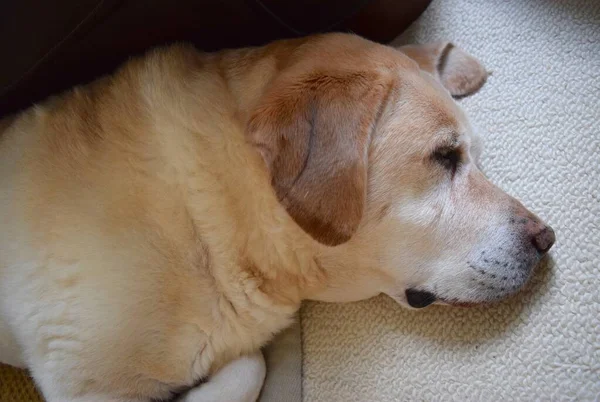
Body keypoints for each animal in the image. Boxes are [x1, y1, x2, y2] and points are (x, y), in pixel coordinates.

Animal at [0, 33, 552, 400]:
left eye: (475, 157)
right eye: (444, 156)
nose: (547, 239)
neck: (207, 221)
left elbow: (250, 366)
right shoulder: (82, 380)